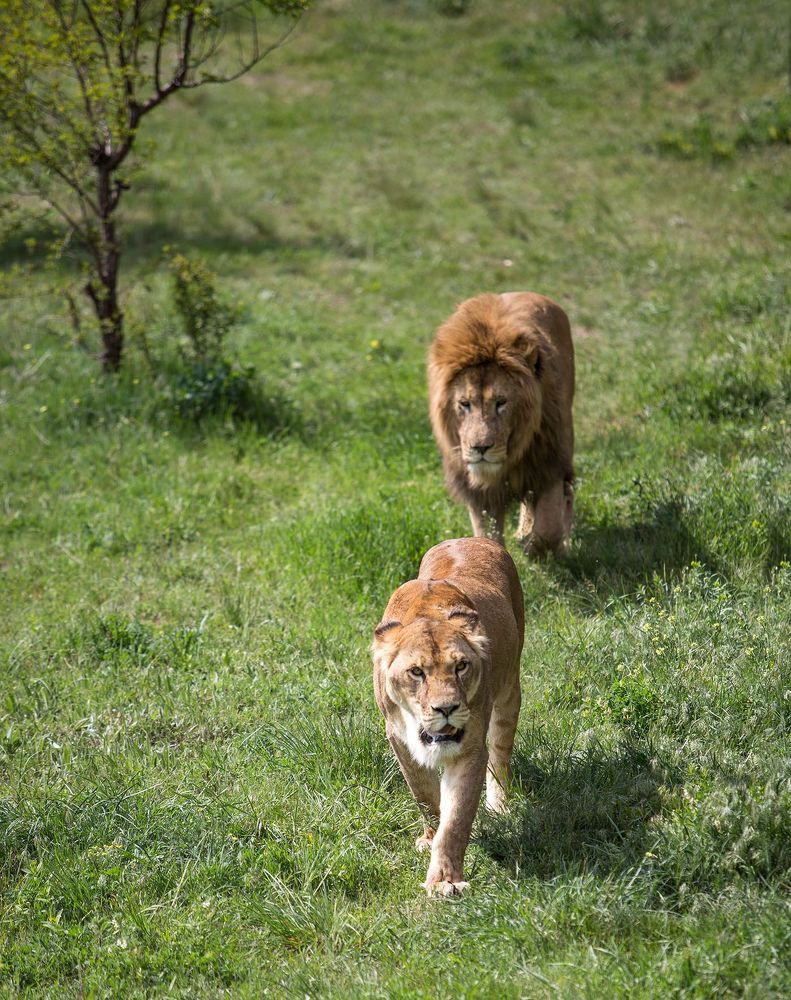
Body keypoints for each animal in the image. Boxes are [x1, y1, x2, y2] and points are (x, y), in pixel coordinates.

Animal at [372, 537, 524, 896]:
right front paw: (430, 838)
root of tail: (470, 538)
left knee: (500, 755)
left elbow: (456, 820)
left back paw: (498, 805)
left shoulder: (470, 748)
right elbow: (425, 796)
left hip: (510, 690)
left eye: (461, 666)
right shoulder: (397, 737)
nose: (447, 709)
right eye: (417, 672)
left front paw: (444, 881)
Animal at [428, 291, 575, 556]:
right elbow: (485, 534)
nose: (480, 448)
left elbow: (548, 528)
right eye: (464, 404)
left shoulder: (548, 463)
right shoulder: (478, 490)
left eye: (501, 402)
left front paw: (533, 549)